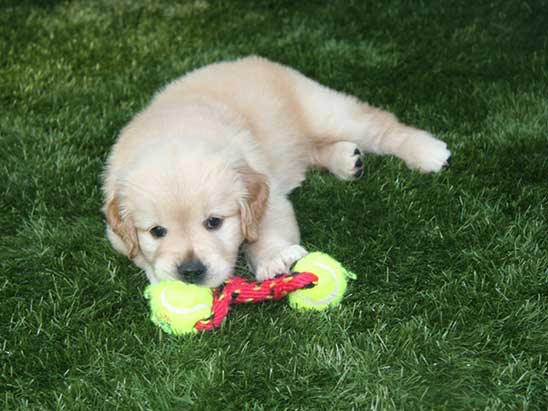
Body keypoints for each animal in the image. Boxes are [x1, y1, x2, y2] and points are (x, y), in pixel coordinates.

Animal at [101, 56, 450, 288]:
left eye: (214, 222)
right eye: (157, 231)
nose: (190, 271)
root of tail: (253, 60)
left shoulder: (268, 193)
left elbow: (268, 229)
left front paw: (273, 258)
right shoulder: (114, 232)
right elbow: (136, 254)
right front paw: (157, 276)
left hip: (327, 112)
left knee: (381, 126)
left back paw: (428, 151)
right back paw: (348, 160)